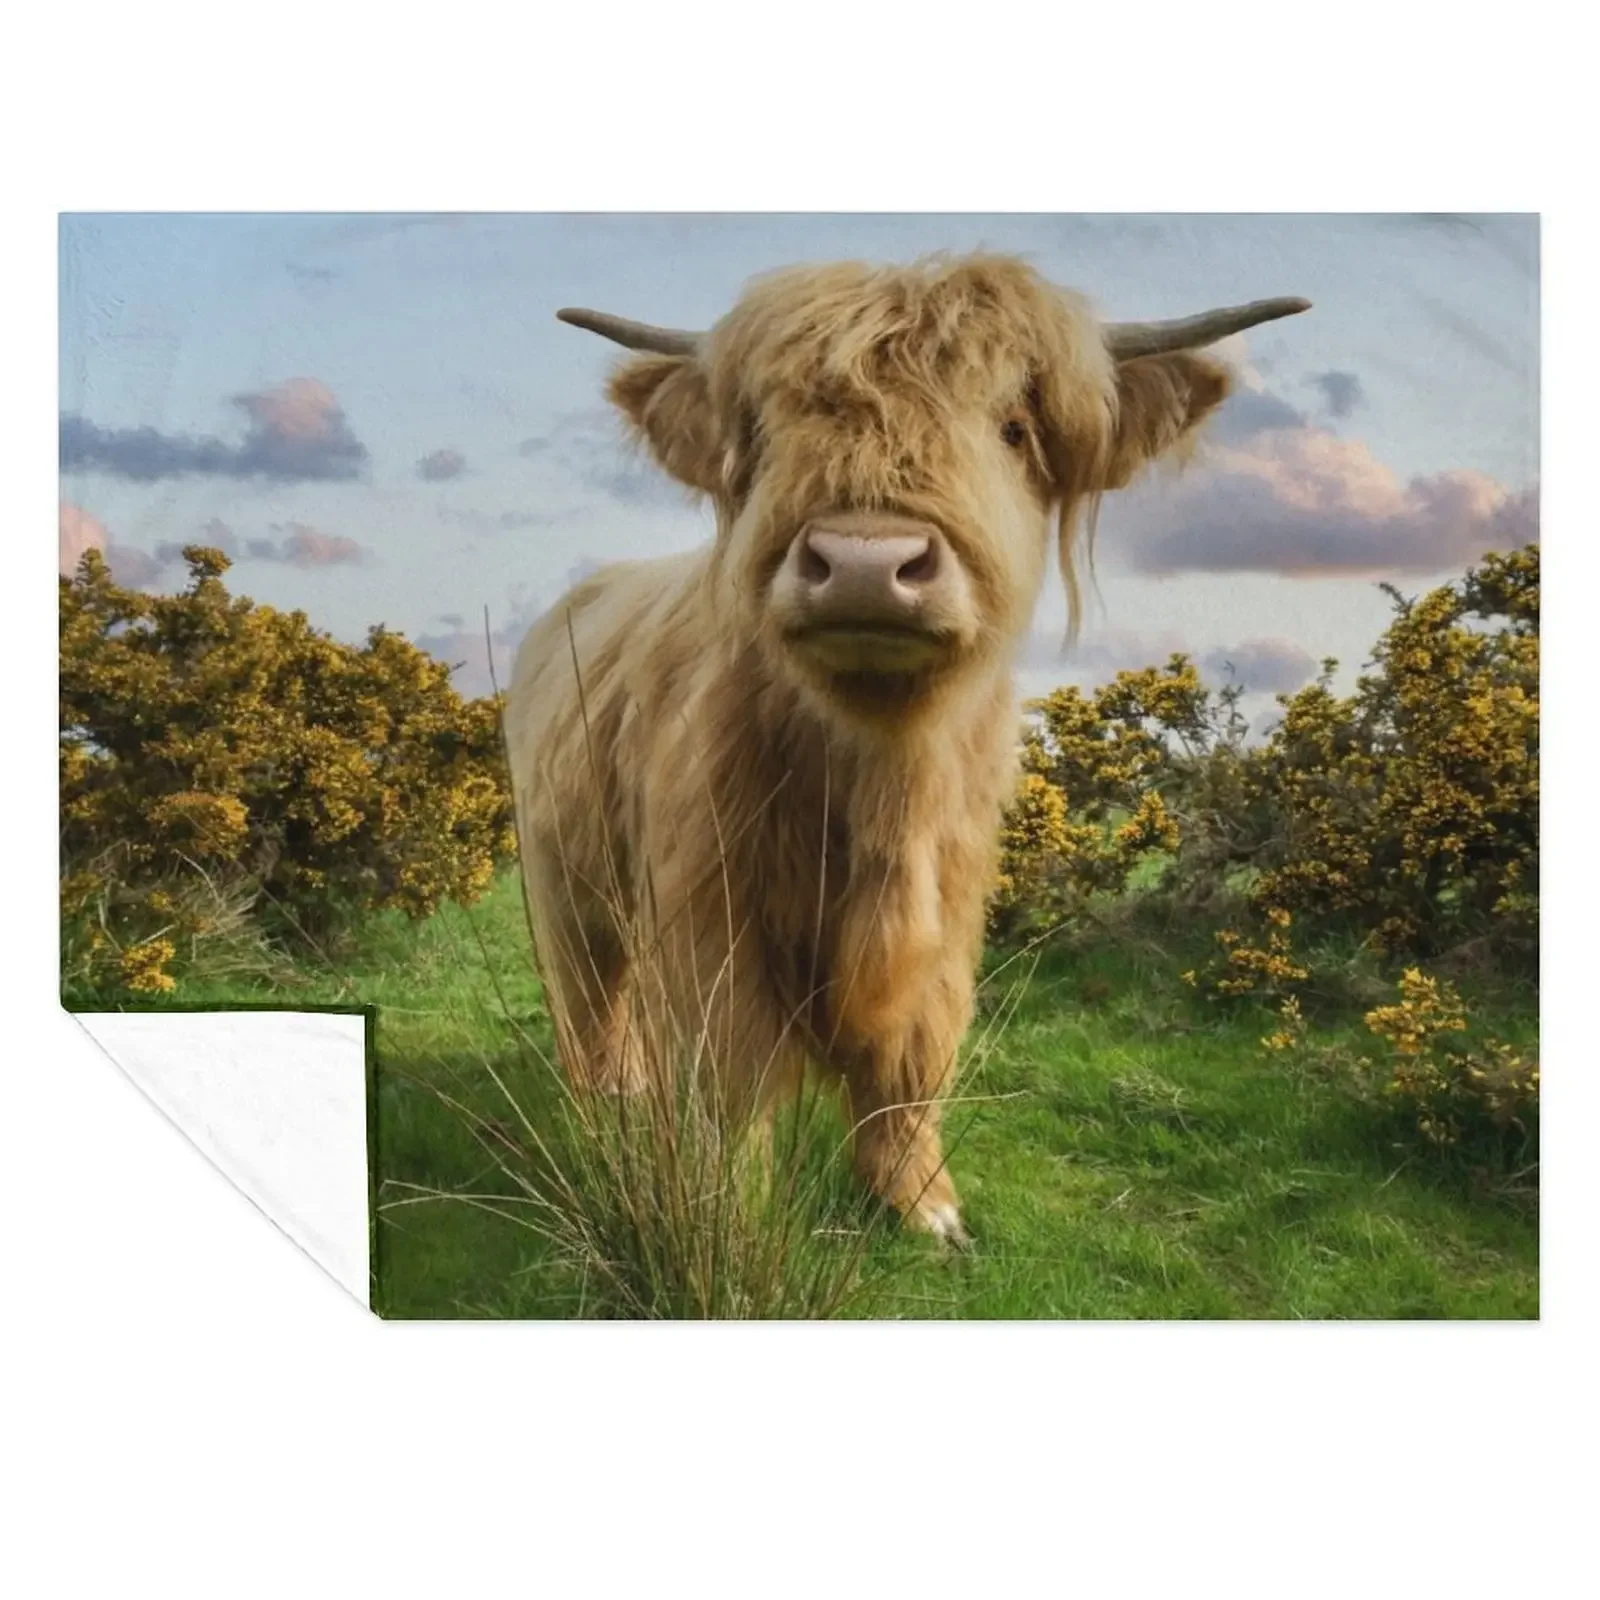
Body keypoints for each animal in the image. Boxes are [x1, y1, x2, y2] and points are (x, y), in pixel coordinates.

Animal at [505, 252, 1309, 1244]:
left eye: (1013, 428)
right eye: (762, 433)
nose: (863, 563)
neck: (883, 778)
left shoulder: (952, 899)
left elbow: (915, 1057)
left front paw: (923, 1204)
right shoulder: (709, 905)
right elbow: (729, 1071)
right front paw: (725, 1211)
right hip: (560, 875)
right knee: (588, 996)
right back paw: (605, 1099)